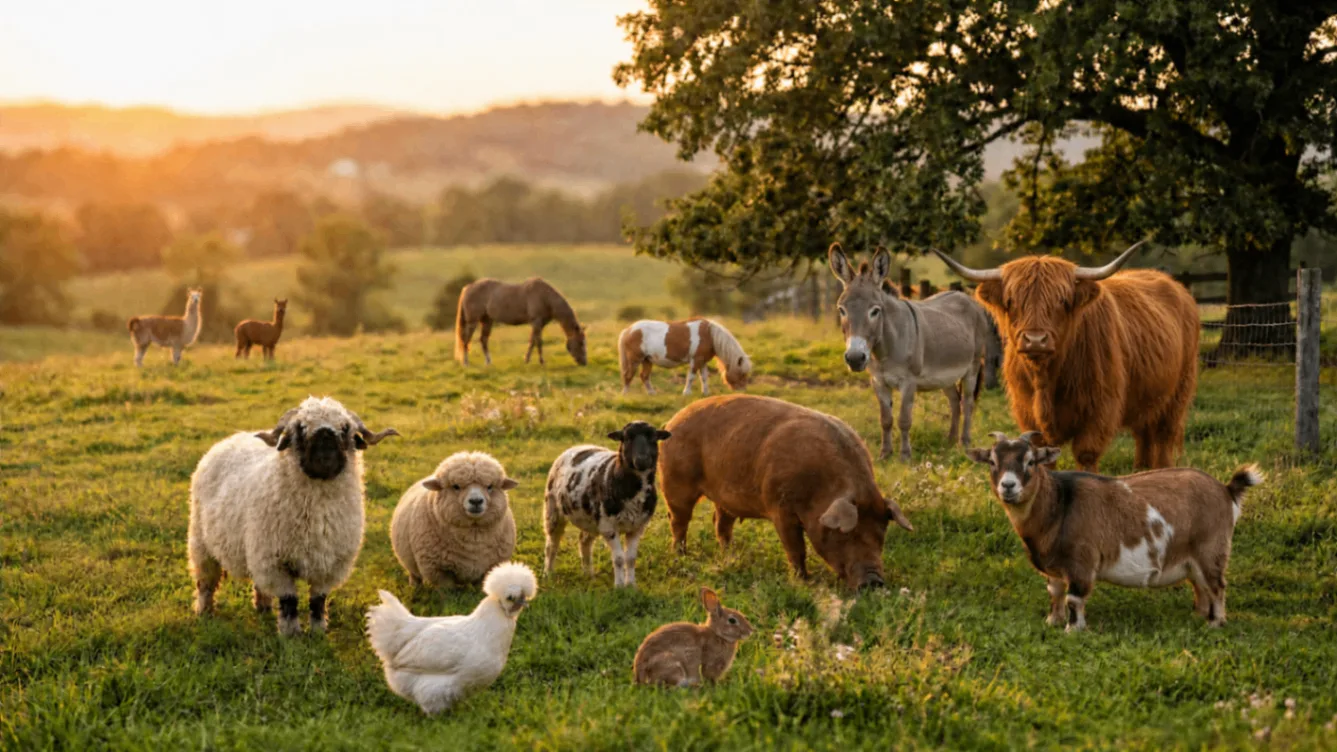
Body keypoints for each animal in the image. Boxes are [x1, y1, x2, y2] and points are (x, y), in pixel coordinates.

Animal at [188, 396, 399, 635]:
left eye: (345, 428)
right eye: (301, 427)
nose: (325, 438)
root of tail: (232, 438)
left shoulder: (329, 564)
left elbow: (318, 601)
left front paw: (318, 631)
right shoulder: (276, 563)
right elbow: (289, 601)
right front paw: (291, 634)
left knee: (259, 585)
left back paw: (263, 609)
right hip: (202, 543)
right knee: (205, 583)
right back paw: (204, 613)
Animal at [390, 452, 519, 588]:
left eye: (489, 486)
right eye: (456, 486)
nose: (476, 501)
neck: (474, 541)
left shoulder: (489, 568)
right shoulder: (439, 571)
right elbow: (447, 591)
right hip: (409, 561)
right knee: (414, 575)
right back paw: (415, 587)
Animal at [543, 421, 671, 587]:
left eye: (654, 438)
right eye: (626, 438)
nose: (642, 461)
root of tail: (577, 446)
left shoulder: (637, 527)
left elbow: (630, 559)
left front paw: (631, 585)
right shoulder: (609, 526)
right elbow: (619, 559)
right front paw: (619, 586)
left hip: (591, 519)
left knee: (584, 540)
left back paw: (588, 573)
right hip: (553, 508)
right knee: (552, 544)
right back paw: (548, 573)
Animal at [967, 431, 1262, 631]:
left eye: (1031, 462)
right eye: (992, 462)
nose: (1008, 486)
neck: (1059, 504)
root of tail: (1226, 490)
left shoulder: (1081, 561)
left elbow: (1074, 598)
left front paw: (1073, 629)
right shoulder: (1055, 567)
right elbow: (1055, 592)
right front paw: (1052, 621)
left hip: (1211, 549)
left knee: (1217, 585)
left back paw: (1216, 623)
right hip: (1192, 558)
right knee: (1200, 585)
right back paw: (1199, 617)